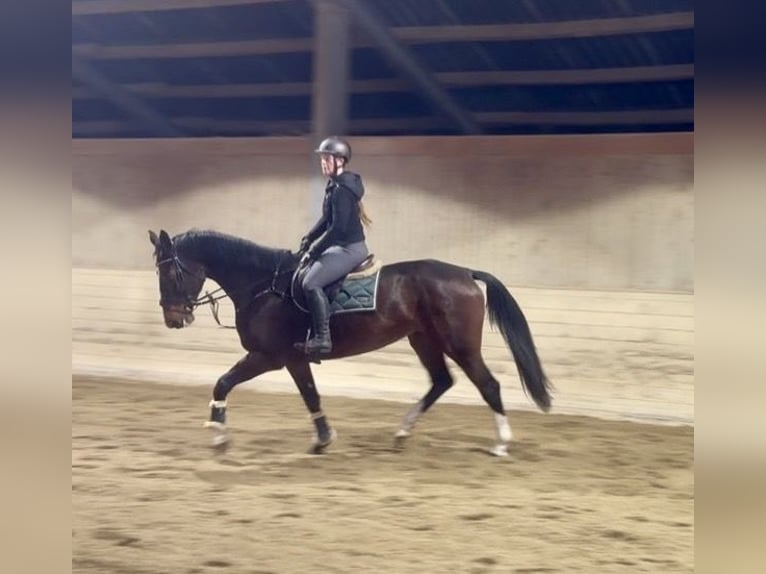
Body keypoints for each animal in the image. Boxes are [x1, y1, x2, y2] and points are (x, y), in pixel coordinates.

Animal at [148, 228, 552, 457]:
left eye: (169, 273)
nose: (173, 319)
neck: (264, 285)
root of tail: (465, 273)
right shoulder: (294, 359)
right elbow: (311, 395)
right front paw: (324, 439)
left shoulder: (268, 356)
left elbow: (223, 383)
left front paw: (218, 434)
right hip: (423, 339)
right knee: (441, 381)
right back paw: (402, 432)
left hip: (460, 344)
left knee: (488, 385)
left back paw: (501, 444)